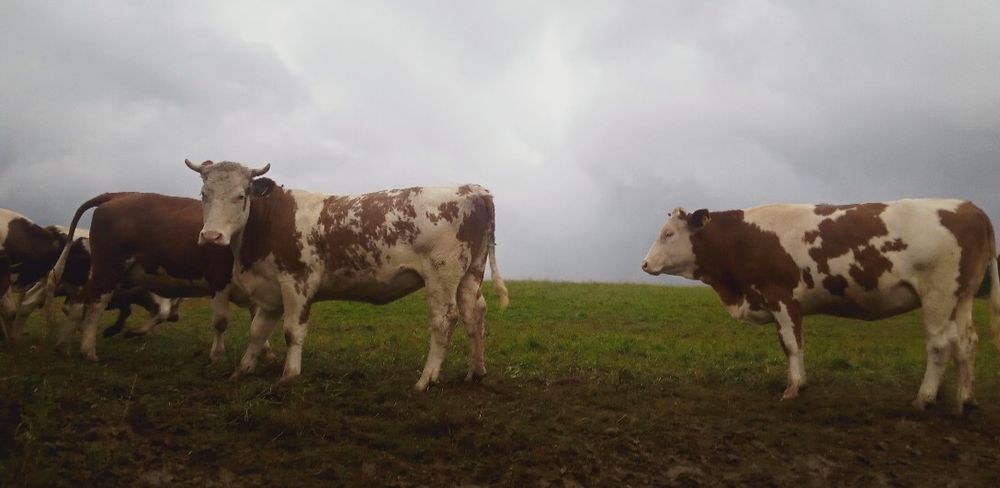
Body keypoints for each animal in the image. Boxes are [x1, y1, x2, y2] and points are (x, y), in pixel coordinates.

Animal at [187, 160, 512, 388]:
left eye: (241, 195)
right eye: (204, 194)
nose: (212, 236)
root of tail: (474, 189)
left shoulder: (297, 282)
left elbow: (292, 331)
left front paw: (289, 375)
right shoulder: (269, 291)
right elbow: (256, 332)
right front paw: (241, 371)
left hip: (441, 274)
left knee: (445, 319)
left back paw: (426, 379)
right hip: (470, 273)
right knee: (474, 312)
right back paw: (475, 372)